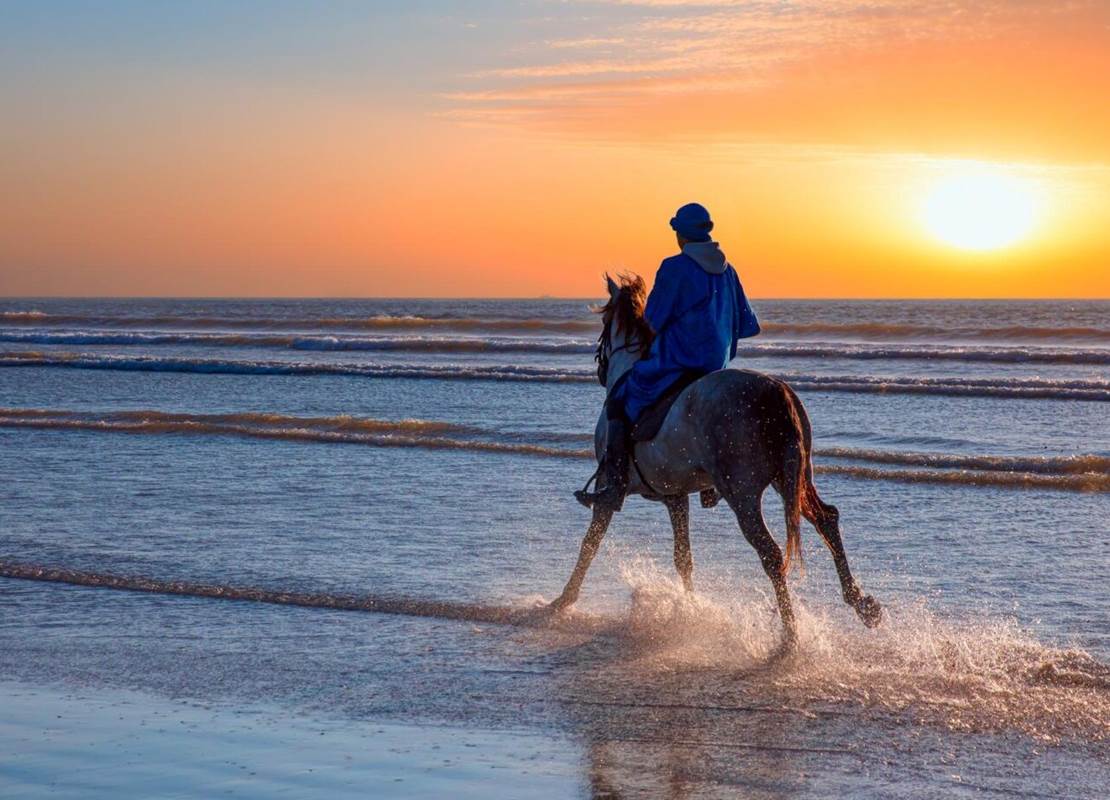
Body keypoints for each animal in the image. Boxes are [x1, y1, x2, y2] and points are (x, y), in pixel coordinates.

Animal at [550, 274, 882, 642]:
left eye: (604, 325)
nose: (600, 368)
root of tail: (775, 391)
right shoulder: (675, 497)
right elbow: (683, 557)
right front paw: (690, 610)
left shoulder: (610, 488)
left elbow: (589, 544)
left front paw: (563, 599)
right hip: (793, 480)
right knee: (827, 520)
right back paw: (861, 604)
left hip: (743, 494)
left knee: (771, 554)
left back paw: (790, 634)